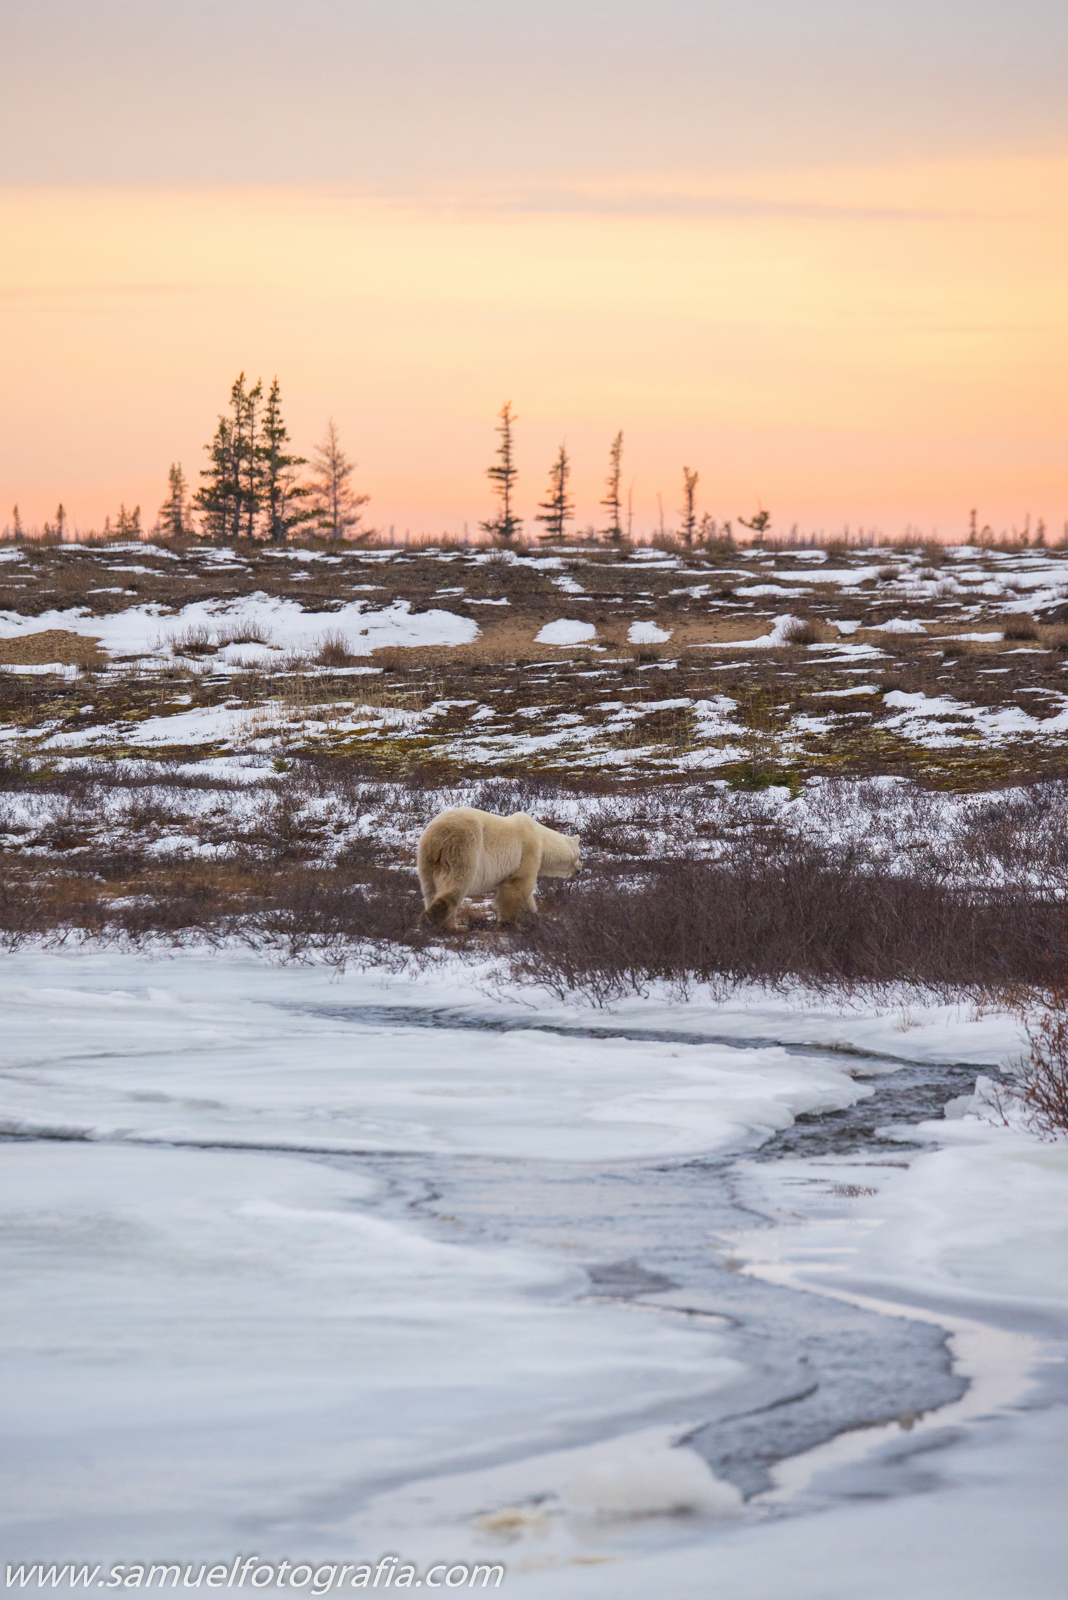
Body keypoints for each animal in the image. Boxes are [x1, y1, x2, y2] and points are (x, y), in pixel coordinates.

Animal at [417, 807, 581, 930]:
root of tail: (437, 835)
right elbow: (518, 886)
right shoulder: (527, 851)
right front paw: (509, 922)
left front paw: (533, 916)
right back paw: (450, 923)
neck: (541, 838)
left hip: (427, 859)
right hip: (463, 846)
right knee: (457, 880)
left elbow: (526, 896)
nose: (580, 869)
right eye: (579, 854)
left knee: (430, 887)